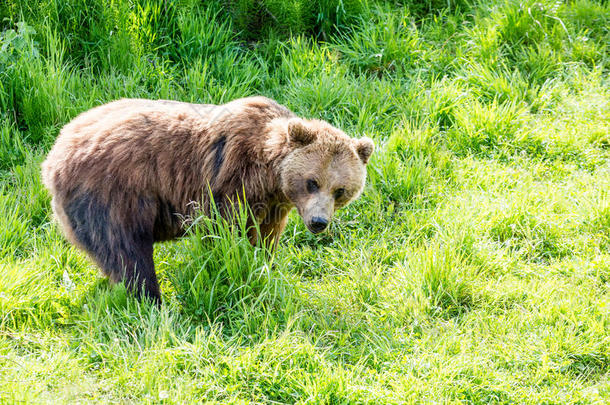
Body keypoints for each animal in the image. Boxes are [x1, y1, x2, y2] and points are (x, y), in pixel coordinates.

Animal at [41, 95, 370, 304]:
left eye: (340, 190)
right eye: (312, 182)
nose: (319, 222)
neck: (270, 175)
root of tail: (53, 155)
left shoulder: (273, 206)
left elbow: (264, 240)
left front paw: (264, 267)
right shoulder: (230, 183)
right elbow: (223, 235)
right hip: (113, 195)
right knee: (127, 253)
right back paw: (152, 300)